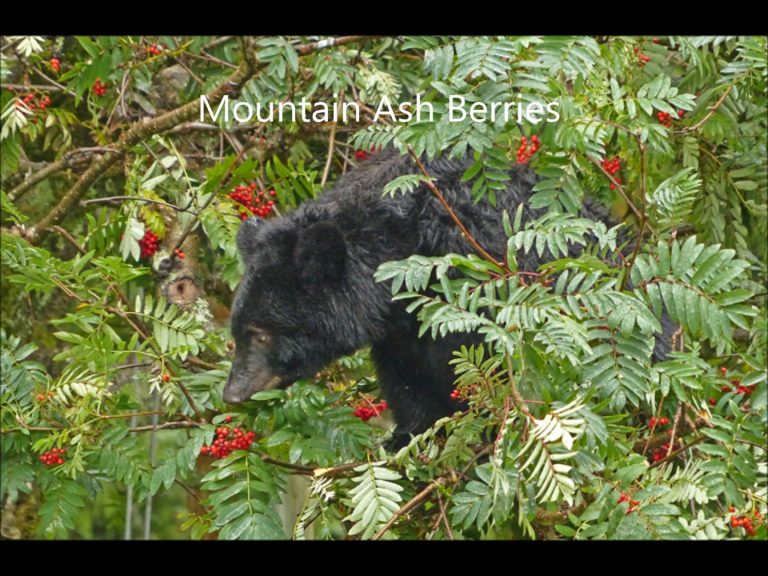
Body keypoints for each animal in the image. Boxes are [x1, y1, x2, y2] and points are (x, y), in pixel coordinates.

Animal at [224, 148, 670, 447]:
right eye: (237, 332)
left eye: (260, 333)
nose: (232, 393)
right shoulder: (398, 331)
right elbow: (408, 381)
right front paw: (406, 437)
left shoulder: (470, 285)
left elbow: (479, 365)